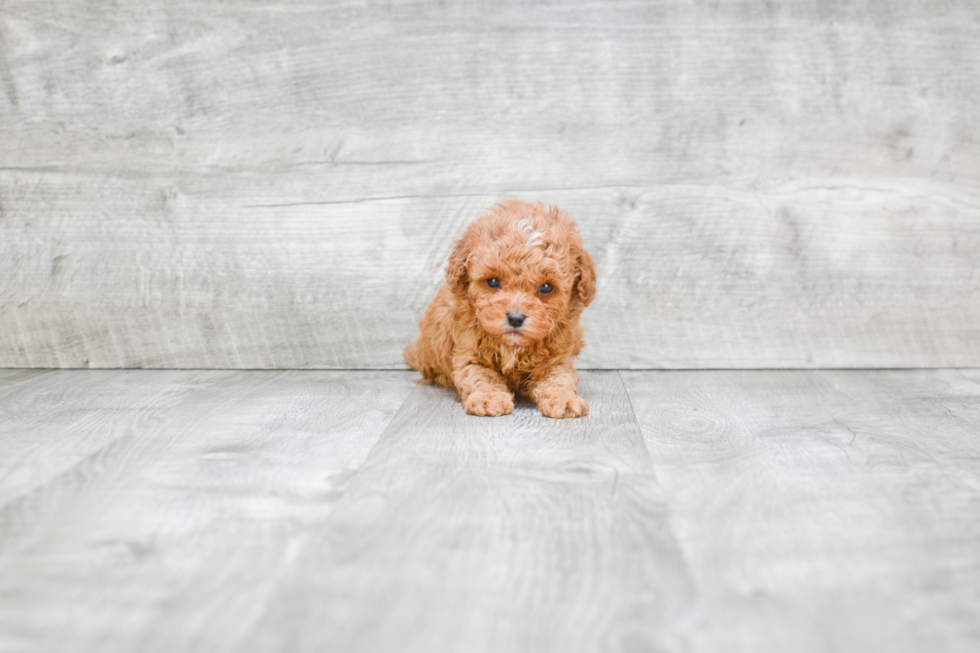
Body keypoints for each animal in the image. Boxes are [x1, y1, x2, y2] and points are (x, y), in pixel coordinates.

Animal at [406, 199, 596, 420]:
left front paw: (564, 400)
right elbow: (481, 377)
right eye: (493, 281)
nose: (515, 318)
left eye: (546, 287)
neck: (512, 347)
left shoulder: (556, 359)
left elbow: (559, 379)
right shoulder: (468, 354)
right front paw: (489, 400)